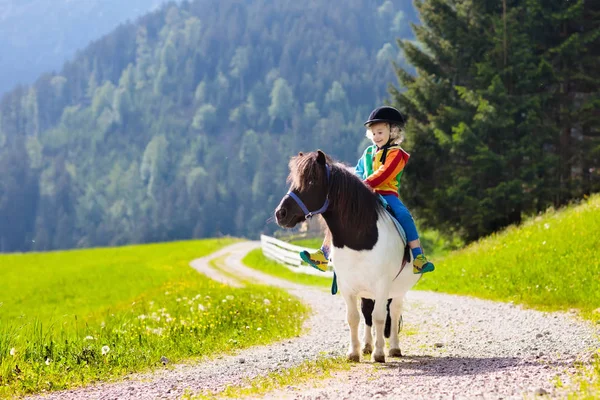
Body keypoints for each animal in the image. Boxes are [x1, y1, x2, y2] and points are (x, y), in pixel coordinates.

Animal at [274, 150, 420, 362]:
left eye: (311, 181)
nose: (281, 213)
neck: (359, 239)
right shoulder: (346, 285)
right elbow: (353, 318)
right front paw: (354, 352)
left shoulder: (382, 285)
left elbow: (380, 317)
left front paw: (379, 353)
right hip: (367, 292)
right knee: (367, 313)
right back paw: (367, 346)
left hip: (397, 290)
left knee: (392, 312)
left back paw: (393, 348)